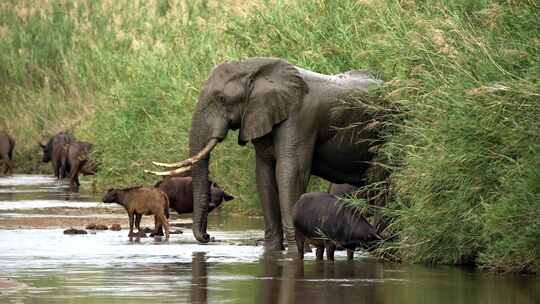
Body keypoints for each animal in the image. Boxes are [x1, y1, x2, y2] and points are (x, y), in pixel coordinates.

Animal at [150, 57, 390, 252]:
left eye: (221, 98)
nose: (209, 237)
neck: (255, 69)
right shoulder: (260, 116)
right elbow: (264, 174)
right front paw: (273, 251)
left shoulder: (299, 118)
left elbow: (289, 173)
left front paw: (297, 250)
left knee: (382, 184)